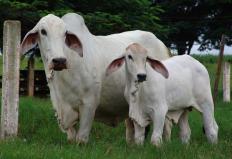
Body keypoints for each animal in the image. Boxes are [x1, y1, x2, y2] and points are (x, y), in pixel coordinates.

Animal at [20, 13, 170, 143]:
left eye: (65, 33)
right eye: (43, 31)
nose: (59, 60)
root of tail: (161, 44)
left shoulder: (89, 104)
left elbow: (81, 138)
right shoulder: (62, 108)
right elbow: (71, 137)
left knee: (166, 127)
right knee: (131, 127)